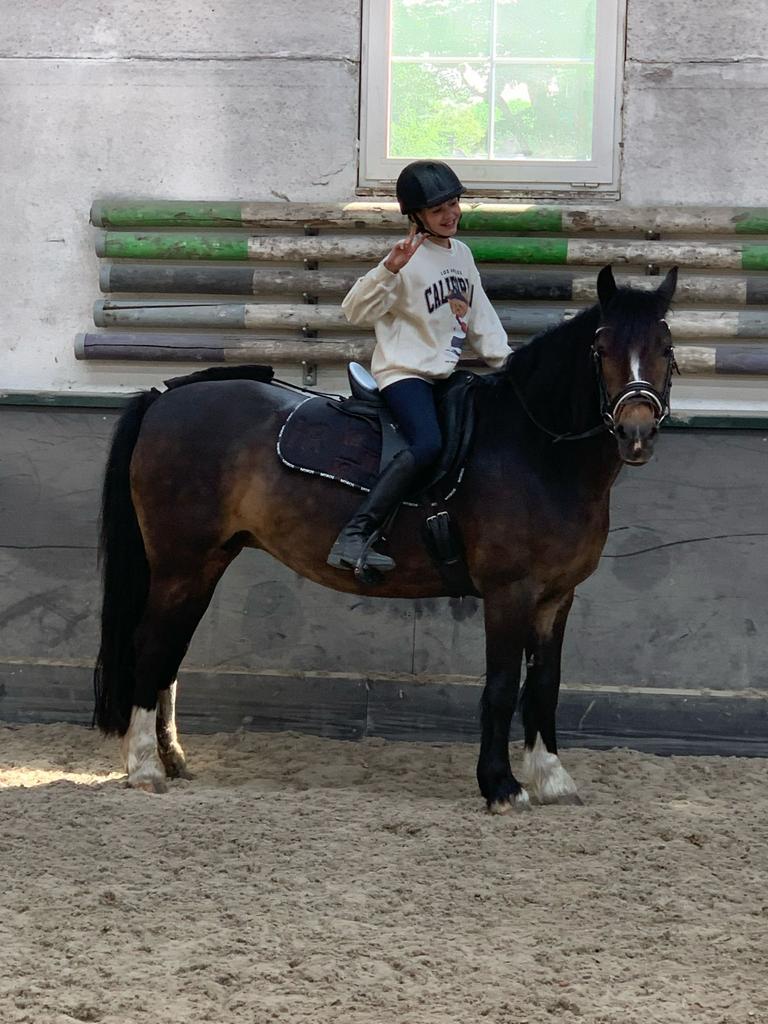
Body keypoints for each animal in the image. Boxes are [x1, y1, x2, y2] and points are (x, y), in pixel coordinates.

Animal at [93, 264, 678, 811]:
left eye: (665, 347)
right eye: (600, 348)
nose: (636, 432)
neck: (535, 449)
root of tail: (166, 396)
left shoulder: (556, 597)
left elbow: (545, 684)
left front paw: (553, 779)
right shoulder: (509, 593)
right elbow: (500, 687)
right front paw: (501, 786)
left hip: (207, 562)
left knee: (169, 653)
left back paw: (172, 760)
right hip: (180, 563)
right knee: (149, 646)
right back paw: (145, 766)